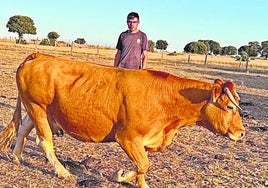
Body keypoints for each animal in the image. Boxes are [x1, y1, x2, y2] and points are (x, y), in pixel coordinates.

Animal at [0, 53, 245, 188]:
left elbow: (143, 166)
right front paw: (120, 176)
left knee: (23, 129)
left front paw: (142, 184)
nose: (241, 132)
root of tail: (38, 55)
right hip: (37, 108)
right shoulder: (127, 137)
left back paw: (16, 157)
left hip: (38, 110)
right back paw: (62, 172)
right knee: (45, 141)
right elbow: (143, 164)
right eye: (230, 107)